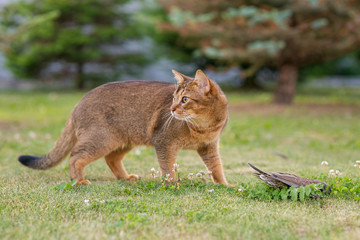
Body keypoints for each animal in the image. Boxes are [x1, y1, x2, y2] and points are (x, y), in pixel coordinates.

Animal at [18, 69, 229, 186]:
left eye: (184, 99)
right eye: (174, 98)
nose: (171, 108)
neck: (204, 126)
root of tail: (78, 103)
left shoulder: (209, 147)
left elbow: (217, 168)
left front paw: (225, 185)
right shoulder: (164, 142)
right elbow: (168, 168)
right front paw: (171, 185)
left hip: (124, 140)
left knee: (111, 158)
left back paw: (125, 178)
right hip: (102, 139)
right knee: (75, 156)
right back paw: (78, 181)